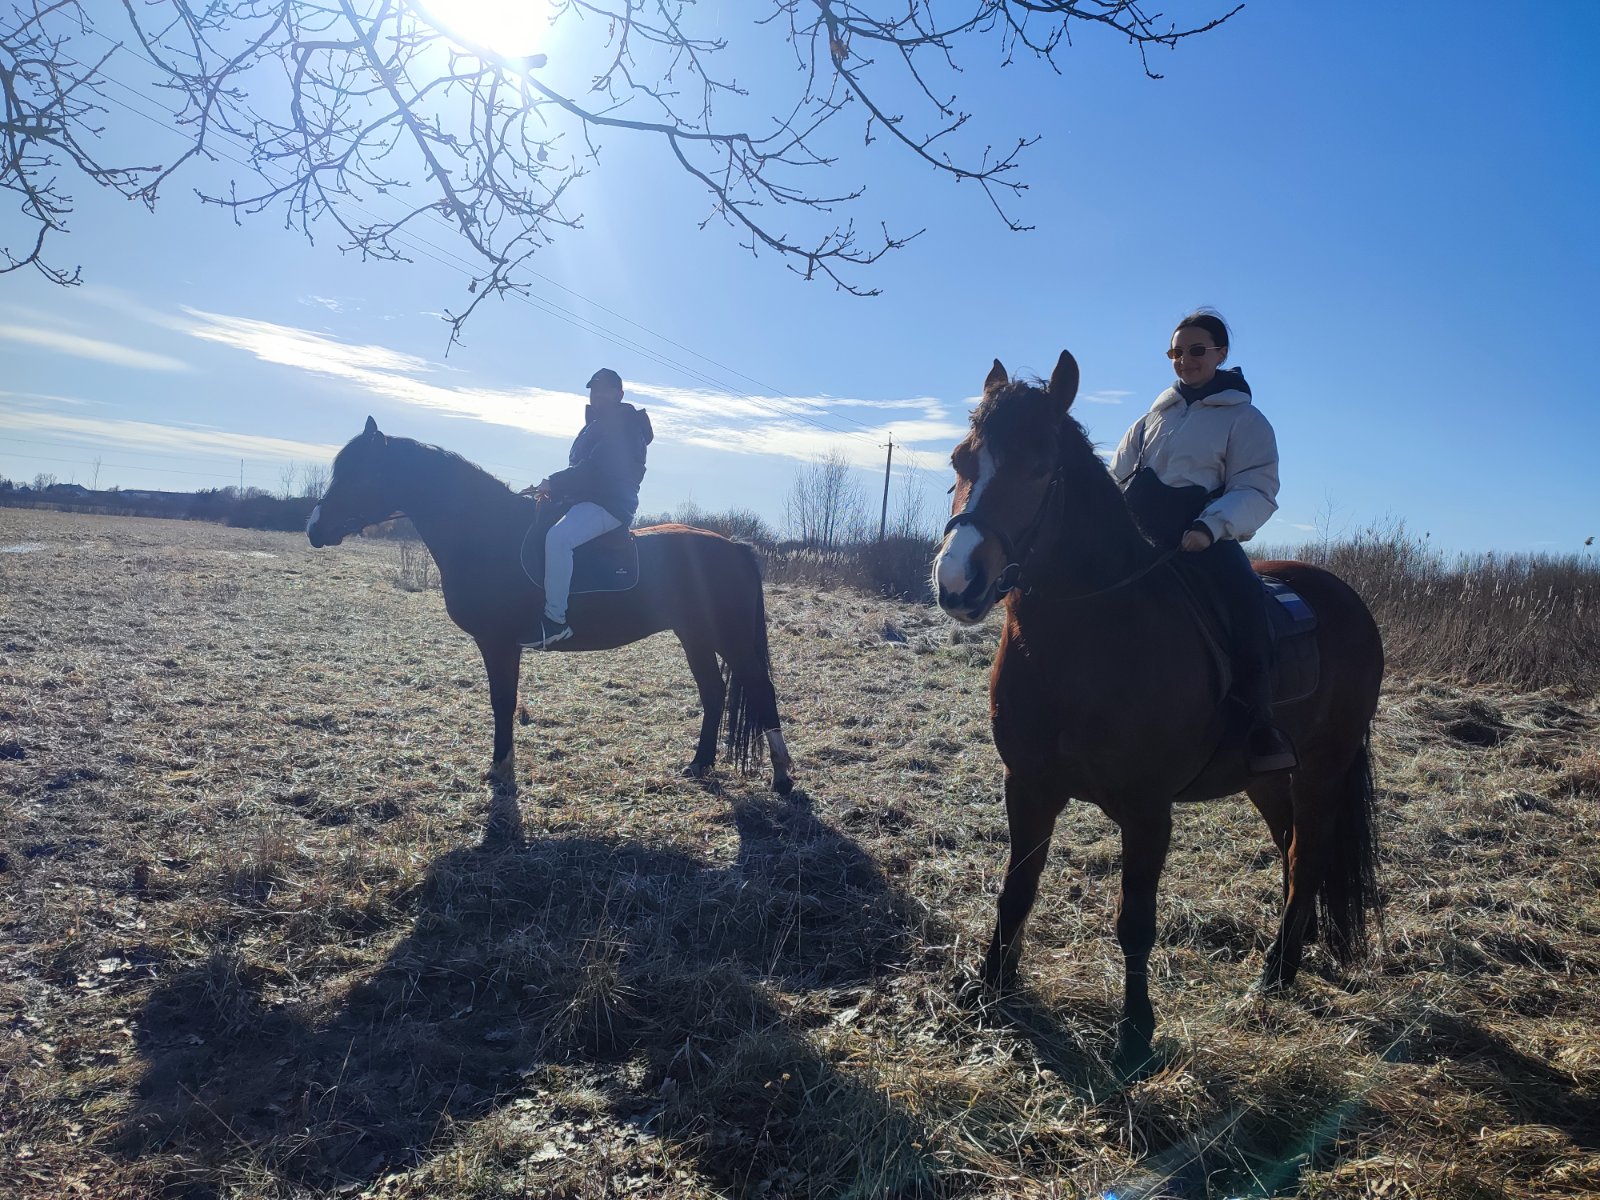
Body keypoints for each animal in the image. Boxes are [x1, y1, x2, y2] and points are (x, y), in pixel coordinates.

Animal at [306, 417, 794, 802]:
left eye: (361, 475)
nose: (314, 528)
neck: (485, 531)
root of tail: (735, 547)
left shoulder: (499, 643)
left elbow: (502, 702)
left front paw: (501, 772)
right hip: (694, 635)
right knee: (713, 693)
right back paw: (699, 764)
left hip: (728, 638)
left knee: (762, 690)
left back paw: (783, 778)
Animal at [933, 353, 1383, 1074]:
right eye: (960, 459)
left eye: (1040, 468)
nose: (957, 583)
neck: (1090, 635)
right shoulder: (1028, 786)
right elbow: (1017, 889)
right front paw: (990, 985)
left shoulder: (1148, 812)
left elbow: (1134, 922)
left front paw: (1135, 1035)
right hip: (1269, 779)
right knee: (1293, 851)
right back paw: (1293, 952)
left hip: (1323, 769)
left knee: (1309, 851)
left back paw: (1277, 969)